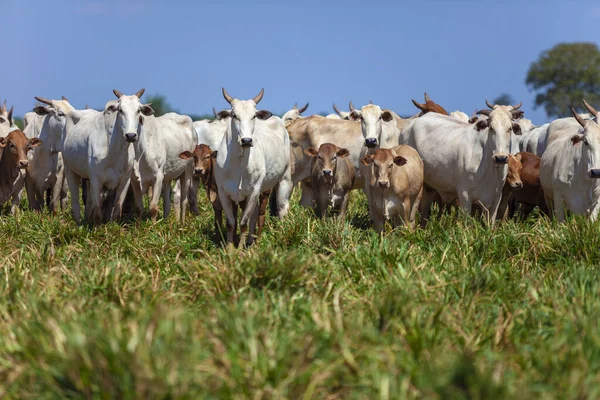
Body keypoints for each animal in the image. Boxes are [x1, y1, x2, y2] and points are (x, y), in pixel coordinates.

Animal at [62, 95, 134, 223]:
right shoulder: (96, 180)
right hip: (70, 170)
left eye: (139, 111)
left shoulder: (125, 180)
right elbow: (97, 212)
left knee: (88, 202)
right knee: (75, 202)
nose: (131, 135)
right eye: (120, 110)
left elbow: (116, 209)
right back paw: (78, 222)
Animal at [120, 88, 196, 223]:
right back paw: (166, 221)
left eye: (138, 110)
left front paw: (153, 226)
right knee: (167, 200)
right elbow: (139, 207)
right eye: (120, 110)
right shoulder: (135, 180)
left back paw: (181, 223)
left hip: (187, 171)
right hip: (168, 176)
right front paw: (139, 226)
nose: (130, 135)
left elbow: (153, 207)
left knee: (184, 200)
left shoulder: (158, 177)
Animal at [216, 88, 292, 245]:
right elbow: (231, 223)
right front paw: (230, 248)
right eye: (234, 115)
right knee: (256, 214)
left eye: (254, 116)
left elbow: (243, 223)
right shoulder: (222, 191)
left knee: (282, 208)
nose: (246, 140)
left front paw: (240, 248)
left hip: (284, 179)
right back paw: (251, 242)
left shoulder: (253, 191)